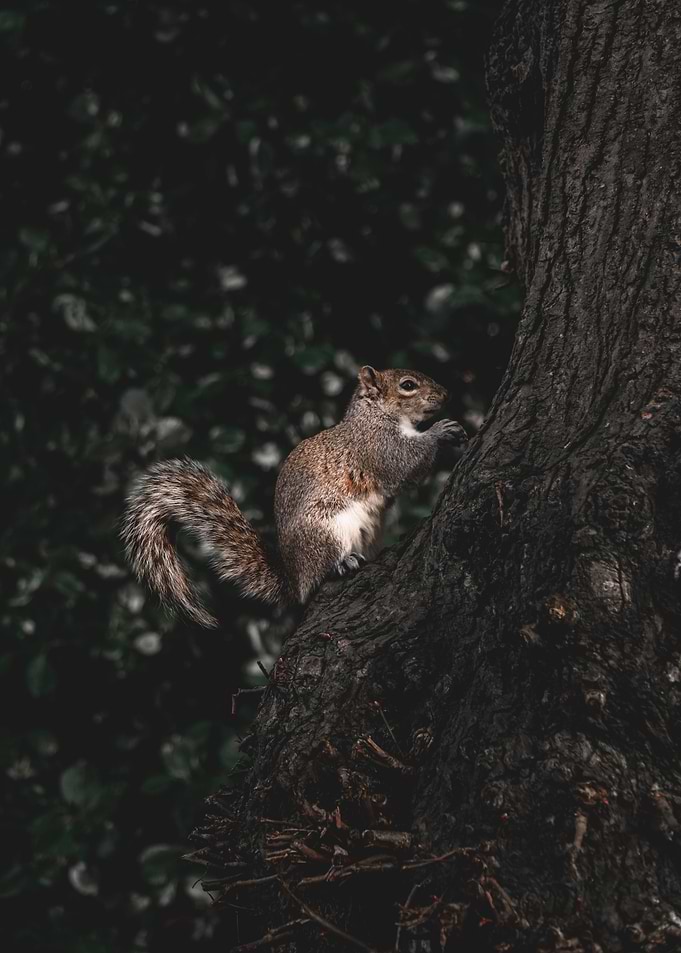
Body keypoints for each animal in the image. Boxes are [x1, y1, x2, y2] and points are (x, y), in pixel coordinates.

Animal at [121, 365, 466, 627]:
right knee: (318, 576)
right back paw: (341, 564)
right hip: (325, 532)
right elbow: (403, 464)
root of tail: (293, 578)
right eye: (408, 385)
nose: (446, 394)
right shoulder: (376, 446)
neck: (374, 415)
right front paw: (441, 432)